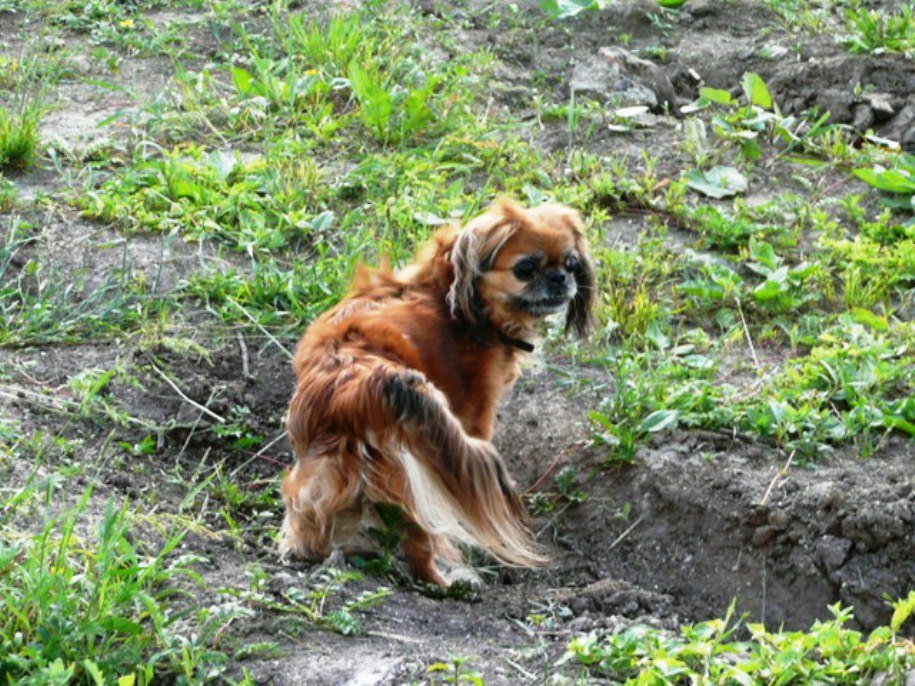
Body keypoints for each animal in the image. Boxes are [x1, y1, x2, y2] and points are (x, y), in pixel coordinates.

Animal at [280, 198, 592, 584]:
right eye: (526, 268)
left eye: (571, 263)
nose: (560, 278)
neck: (448, 296)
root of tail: (358, 384)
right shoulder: (477, 416)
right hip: (414, 480)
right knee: (420, 542)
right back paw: (444, 581)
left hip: (322, 474)